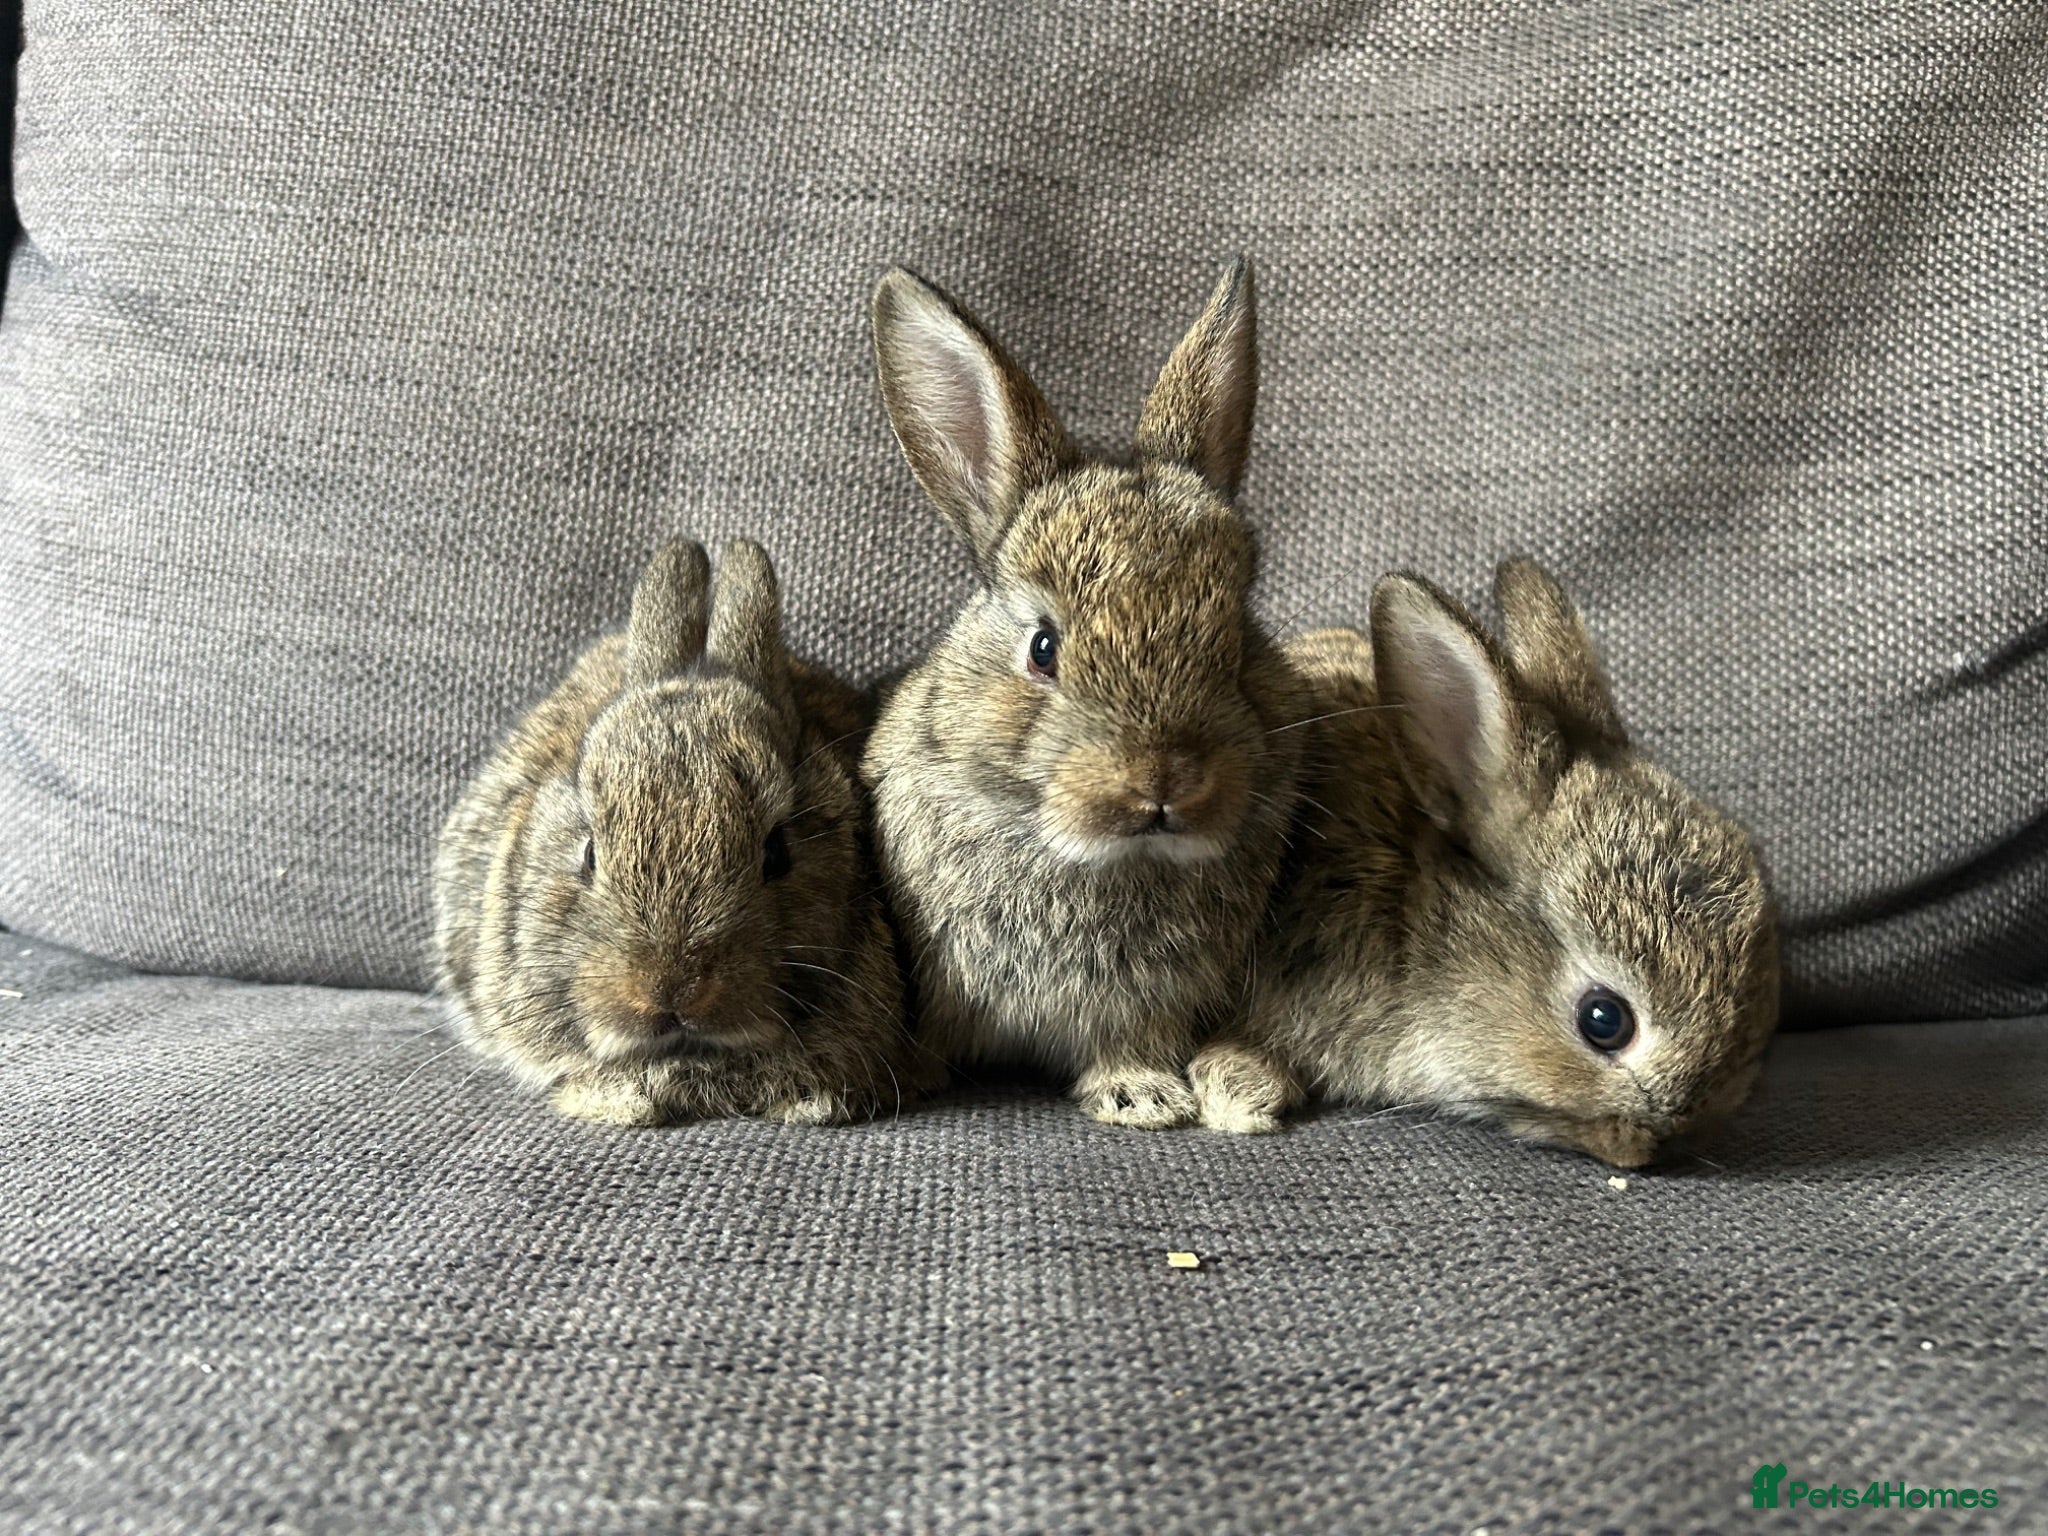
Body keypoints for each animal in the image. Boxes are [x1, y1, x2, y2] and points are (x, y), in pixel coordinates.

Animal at [862, 258, 1303, 1128]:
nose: (1163, 781)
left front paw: (1141, 1094)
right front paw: (909, 1074)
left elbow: (1130, 1041)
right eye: (1043, 648)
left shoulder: (1155, 1001)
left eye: (1236, 637)